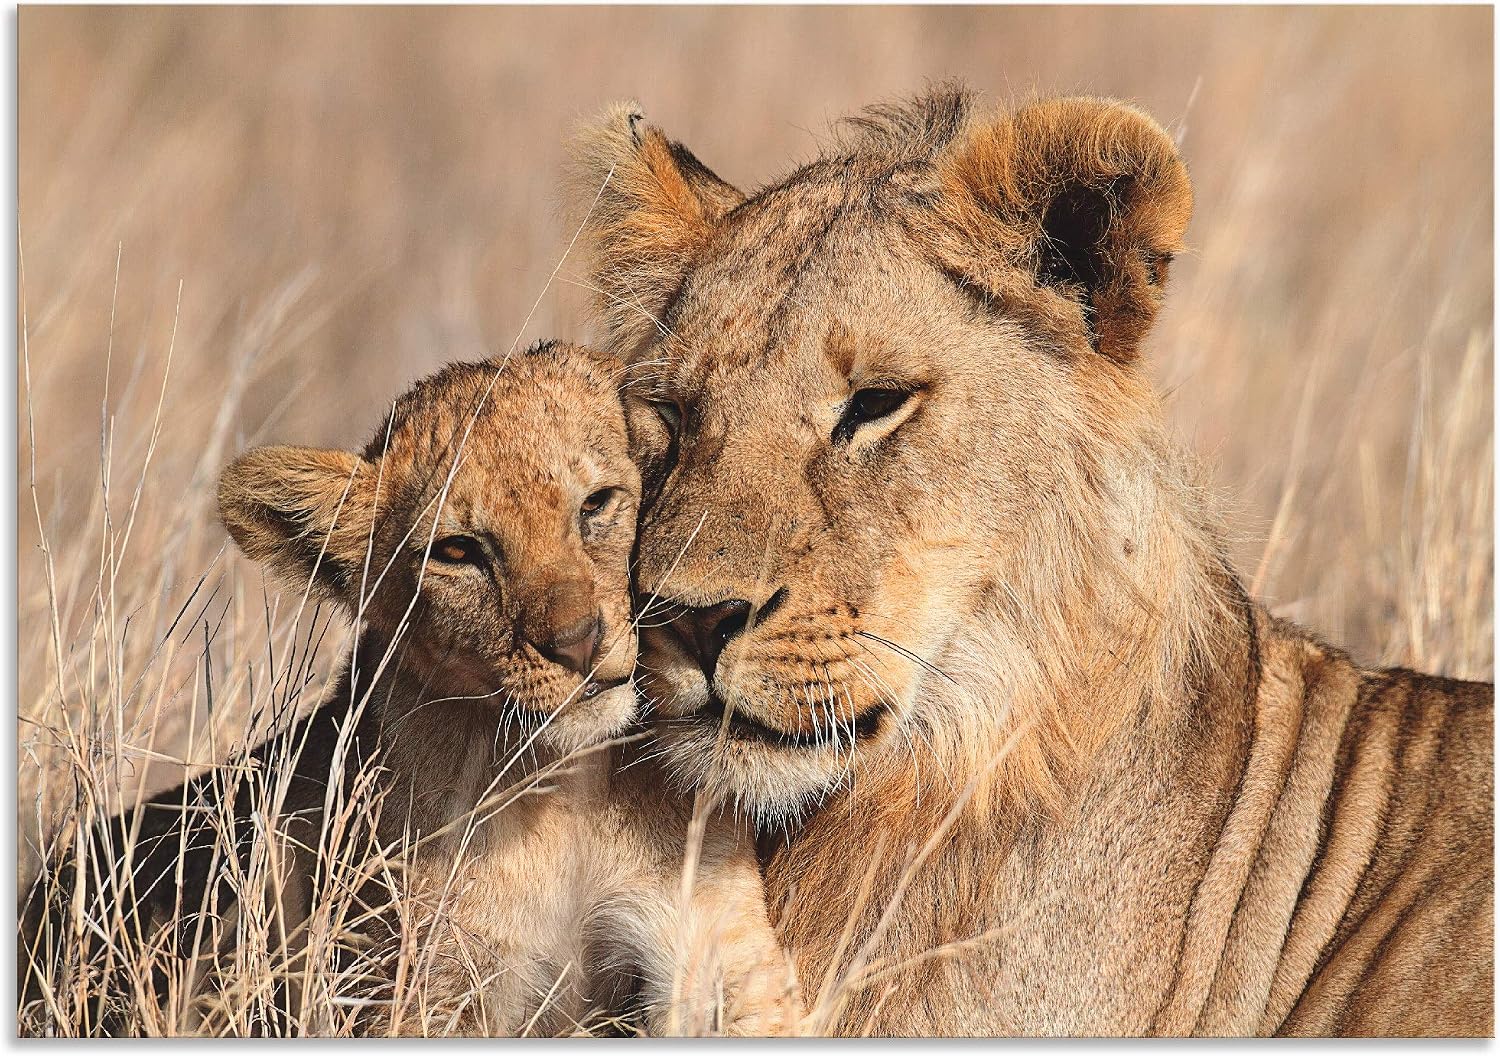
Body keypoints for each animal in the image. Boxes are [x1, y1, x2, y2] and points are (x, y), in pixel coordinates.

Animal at [19, 342, 797, 1037]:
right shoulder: (425, 988)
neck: (572, 794)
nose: (577, 642)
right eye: (459, 552)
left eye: (597, 504)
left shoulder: (716, 956)